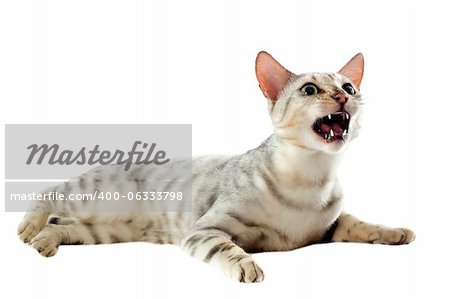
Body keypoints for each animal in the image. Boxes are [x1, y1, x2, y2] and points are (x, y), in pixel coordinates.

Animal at [18, 51, 418, 284]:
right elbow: (227, 249)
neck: (310, 178)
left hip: (107, 231)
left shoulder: (328, 227)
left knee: (65, 227)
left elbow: (360, 223)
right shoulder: (206, 230)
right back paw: (30, 228)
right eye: (309, 90)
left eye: (349, 86)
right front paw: (246, 265)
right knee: (49, 195)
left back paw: (45, 242)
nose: (342, 96)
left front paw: (393, 231)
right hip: (93, 196)